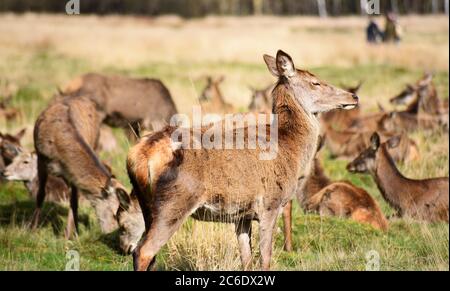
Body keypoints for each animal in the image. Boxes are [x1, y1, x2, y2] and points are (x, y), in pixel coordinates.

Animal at [31, 93, 129, 240]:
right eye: (114, 214)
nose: (111, 235)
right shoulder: (41, 158)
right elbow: (40, 193)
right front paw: (32, 229)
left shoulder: (71, 175)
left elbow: (73, 202)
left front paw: (69, 235)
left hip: (96, 143)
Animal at [119, 50, 358, 272]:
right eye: (315, 82)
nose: (353, 97)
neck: (290, 149)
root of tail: (139, 155)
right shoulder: (270, 204)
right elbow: (265, 258)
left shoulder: (241, 215)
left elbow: (247, 259)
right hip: (175, 200)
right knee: (143, 251)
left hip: (146, 203)